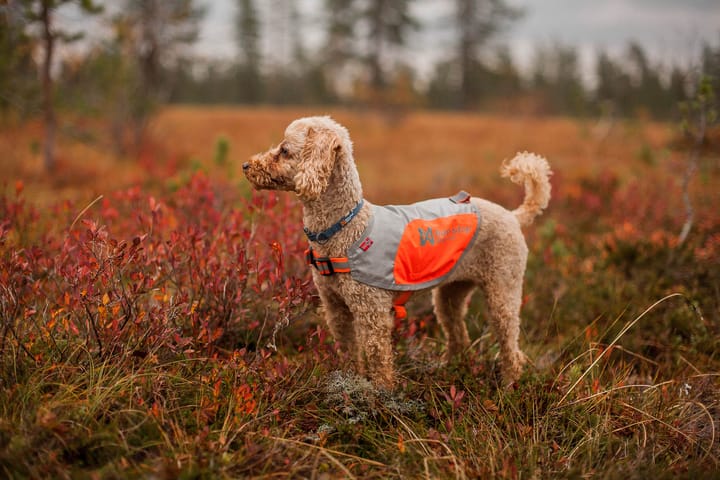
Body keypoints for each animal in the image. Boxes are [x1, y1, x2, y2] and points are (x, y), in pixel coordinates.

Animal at [242, 116, 552, 390]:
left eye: (284, 150)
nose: (246, 165)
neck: (344, 226)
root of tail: (513, 215)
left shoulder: (372, 312)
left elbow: (379, 359)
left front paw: (379, 396)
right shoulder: (337, 309)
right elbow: (349, 351)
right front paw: (349, 383)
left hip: (503, 290)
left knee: (511, 348)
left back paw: (510, 386)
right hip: (450, 294)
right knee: (459, 337)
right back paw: (451, 370)